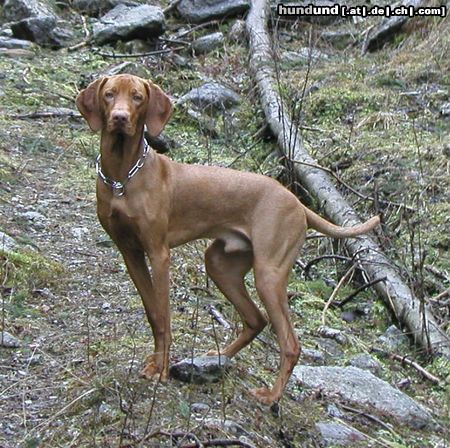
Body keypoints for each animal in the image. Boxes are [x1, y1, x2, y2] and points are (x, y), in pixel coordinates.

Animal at [75, 75, 378, 404]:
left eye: (137, 97)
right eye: (109, 95)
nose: (120, 118)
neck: (122, 178)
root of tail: (299, 204)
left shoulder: (158, 253)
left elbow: (165, 316)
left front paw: (162, 369)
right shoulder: (130, 252)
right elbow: (154, 313)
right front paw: (156, 362)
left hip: (268, 274)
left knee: (290, 342)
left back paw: (271, 396)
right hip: (221, 265)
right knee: (256, 319)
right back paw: (220, 356)